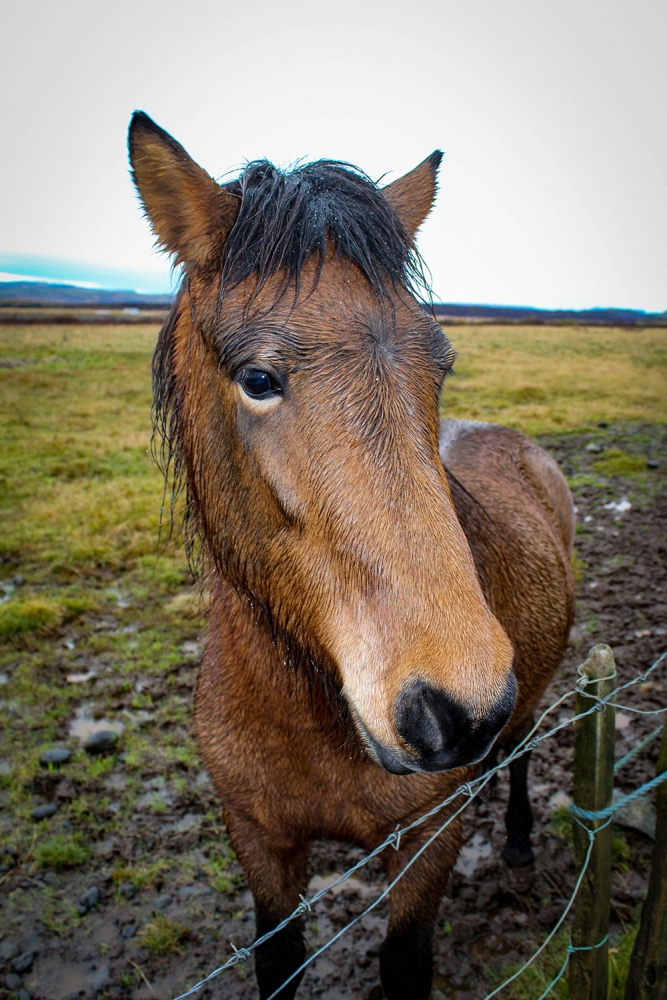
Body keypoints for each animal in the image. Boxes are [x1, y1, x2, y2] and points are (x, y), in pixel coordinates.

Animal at [129, 113, 576, 1000]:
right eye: (257, 377)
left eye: (440, 364)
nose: (457, 710)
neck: (306, 706)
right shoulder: (258, 843)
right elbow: (276, 963)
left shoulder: (428, 839)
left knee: (520, 754)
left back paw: (514, 837)